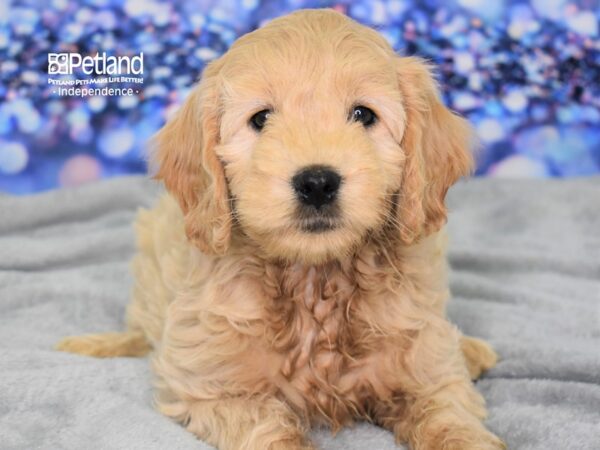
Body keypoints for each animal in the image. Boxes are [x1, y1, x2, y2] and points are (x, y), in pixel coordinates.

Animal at [58, 7, 504, 450]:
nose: (317, 182)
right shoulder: (211, 388)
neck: (314, 280)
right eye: (261, 119)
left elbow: (448, 414)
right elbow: (266, 427)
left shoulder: (429, 370)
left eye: (363, 115)